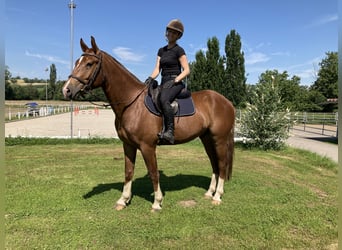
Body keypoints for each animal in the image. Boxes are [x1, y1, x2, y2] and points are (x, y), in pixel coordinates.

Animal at [62, 36, 235, 210]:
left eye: (89, 64)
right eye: (77, 62)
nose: (66, 90)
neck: (131, 103)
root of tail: (226, 102)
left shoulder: (147, 146)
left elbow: (153, 172)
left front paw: (157, 202)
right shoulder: (128, 145)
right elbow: (128, 172)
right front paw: (123, 200)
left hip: (219, 139)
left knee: (222, 164)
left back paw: (217, 196)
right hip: (207, 138)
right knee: (214, 163)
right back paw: (209, 193)